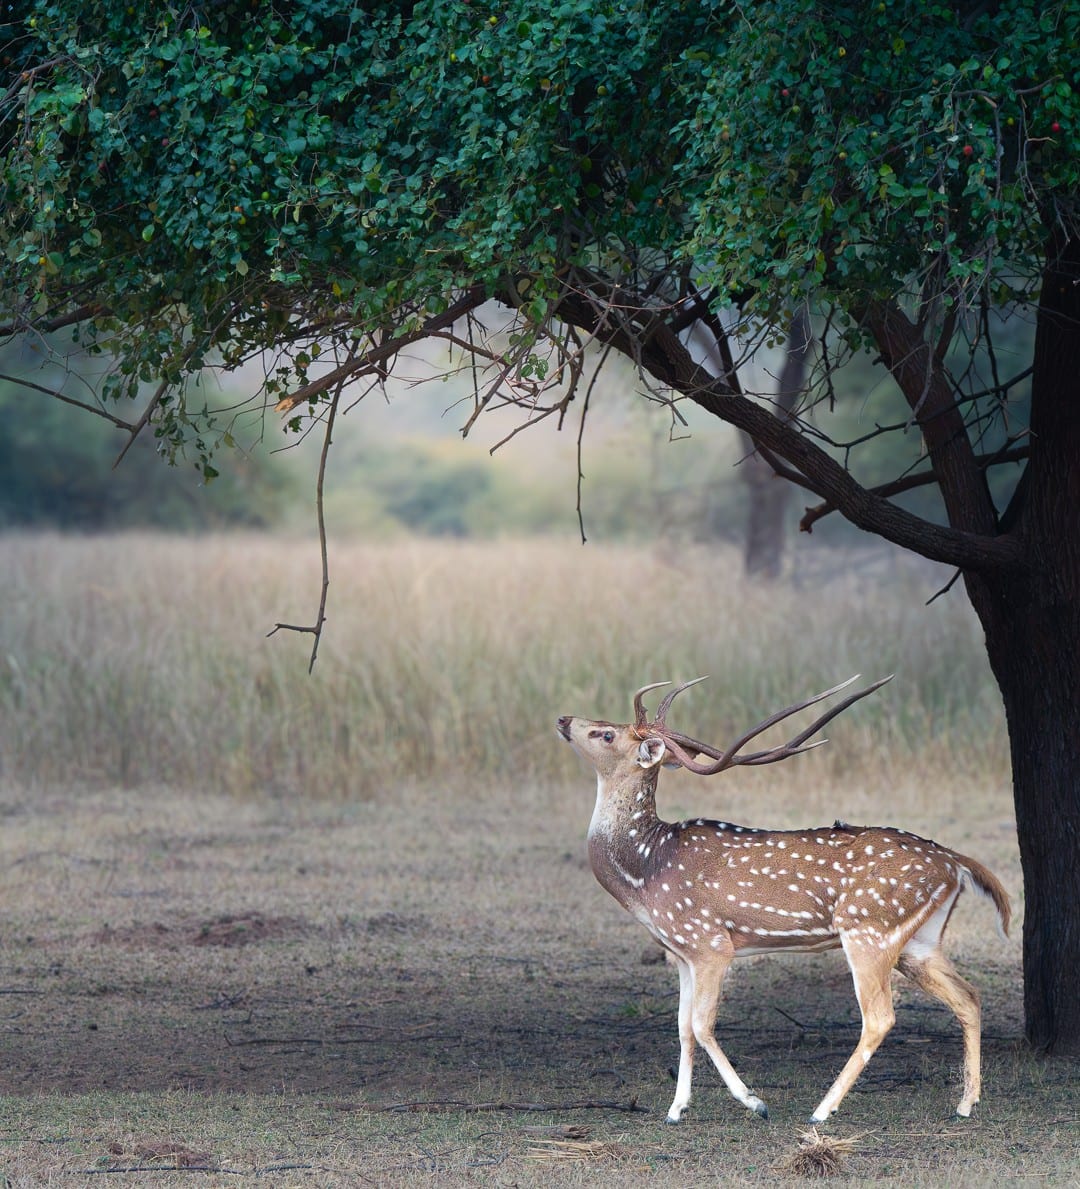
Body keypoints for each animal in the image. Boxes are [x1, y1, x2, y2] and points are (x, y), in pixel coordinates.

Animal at [556, 676, 1011, 1125]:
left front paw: (754, 1101)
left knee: (880, 1017)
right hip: (918, 941)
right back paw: (966, 1103)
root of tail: (956, 862)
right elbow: (682, 1026)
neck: (647, 871)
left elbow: (702, 1026)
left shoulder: (710, 943)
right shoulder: (681, 952)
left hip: (868, 930)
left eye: (606, 733)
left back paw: (822, 1110)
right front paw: (676, 1110)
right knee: (969, 996)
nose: (563, 718)